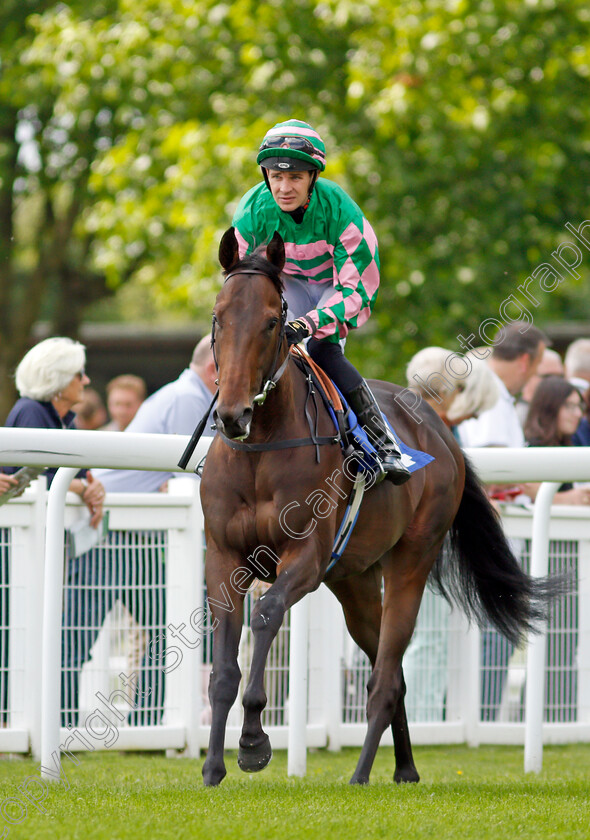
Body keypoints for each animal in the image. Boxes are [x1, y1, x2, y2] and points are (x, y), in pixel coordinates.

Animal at [201, 226, 560, 784]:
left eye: (273, 321)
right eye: (219, 317)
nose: (233, 414)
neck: (261, 446)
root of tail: (441, 430)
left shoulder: (304, 556)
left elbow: (266, 615)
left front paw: (255, 741)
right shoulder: (223, 556)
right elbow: (223, 665)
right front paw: (213, 767)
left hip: (411, 560)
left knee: (387, 677)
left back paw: (362, 773)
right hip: (355, 581)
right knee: (395, 675)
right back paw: (405, 768)